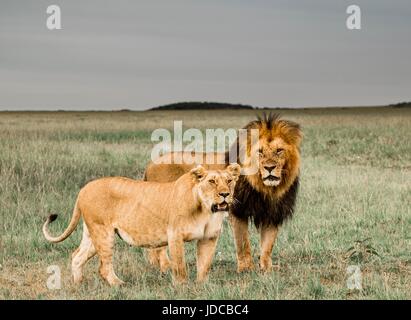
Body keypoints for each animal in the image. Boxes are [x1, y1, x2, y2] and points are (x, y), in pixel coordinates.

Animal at [42, 165, 241, 284]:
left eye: (229, 180)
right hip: (103, 232)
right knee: (103, 267)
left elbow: (204, 264)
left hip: (92, 233)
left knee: (77, 256)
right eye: (212, 181)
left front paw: (201, 285)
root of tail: (84, 188)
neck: (207, 210)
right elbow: (180, 266)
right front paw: (183, 287)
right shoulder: (175, 235)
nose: (225, 194)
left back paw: (79, 284)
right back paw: (119, 285)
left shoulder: (209, 238)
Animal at [146, 113, 302, 272]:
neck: (266, 189)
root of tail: (151, 164)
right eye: (260, 152)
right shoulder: (238, 211)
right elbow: (243, 242)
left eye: (279, 150)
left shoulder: (273, 213)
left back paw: (155, 264)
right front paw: (246, 268)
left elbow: (268, 244)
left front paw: (267, 268)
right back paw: (166, 266)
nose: (269, 168)